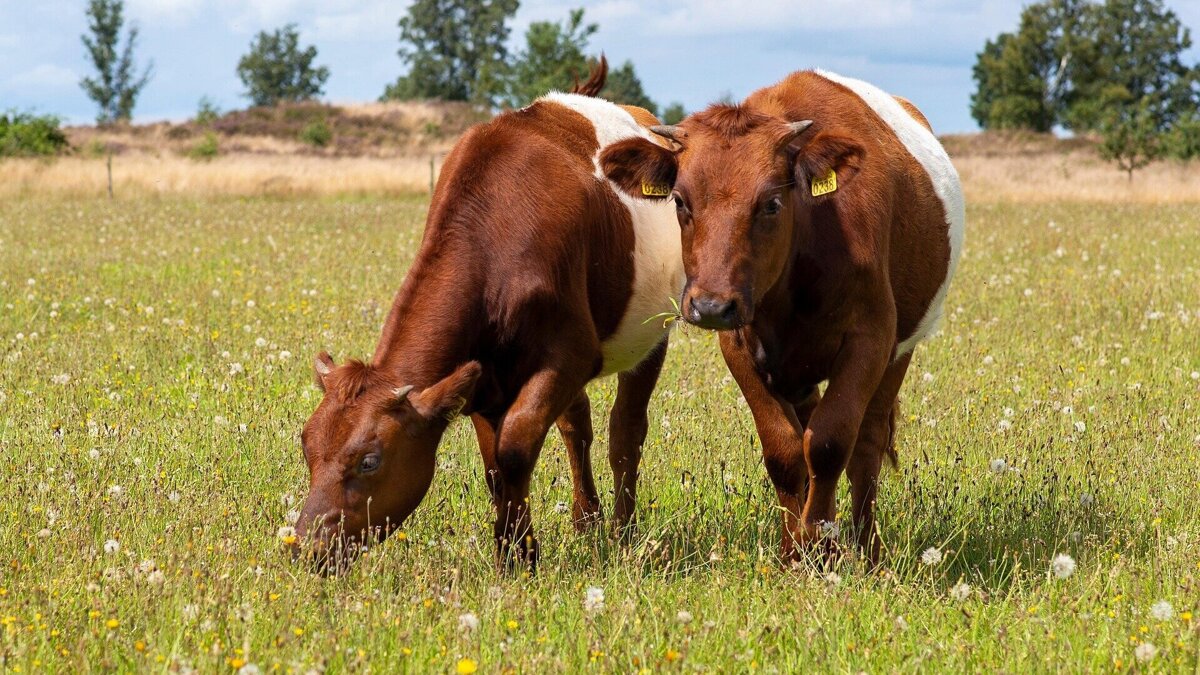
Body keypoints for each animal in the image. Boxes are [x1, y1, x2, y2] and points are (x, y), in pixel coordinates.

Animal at [293, 59, 685, 572]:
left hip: (653, 329)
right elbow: (495, 464)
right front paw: (512, 551)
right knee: (577, 426)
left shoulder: (572, 354)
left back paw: (623, 530)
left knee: (626, 430)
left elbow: (515, 449)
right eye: (306, 445)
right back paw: (587, 520)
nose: (306, 546)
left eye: (370, 460)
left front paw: (520, 554)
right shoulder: (481, 375)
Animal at [599, 70, 964, 564]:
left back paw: (868, 550)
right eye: (679, 201)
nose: (711, 306)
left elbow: (830, 443)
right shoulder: (739, 345)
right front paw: (796, 552)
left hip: (900, 350)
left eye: (771, 203)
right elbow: (785, 451)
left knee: (866, 444)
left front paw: (821, 546)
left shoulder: (870, 339)